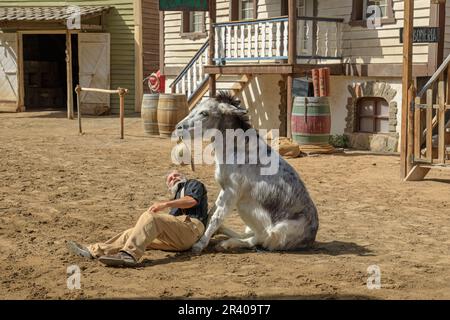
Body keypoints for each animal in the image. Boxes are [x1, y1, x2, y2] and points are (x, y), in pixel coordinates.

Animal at [174, 92, 318, 252]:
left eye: (204, 113)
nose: (178, 127)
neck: (237, 149)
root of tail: (310, 238)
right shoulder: (224, 189)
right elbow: (212, 211)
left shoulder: (232, 192)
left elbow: (217, 217)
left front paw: (200, 244)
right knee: (251, 234)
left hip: (256, 216)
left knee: (259, 238)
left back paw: (226, 244)